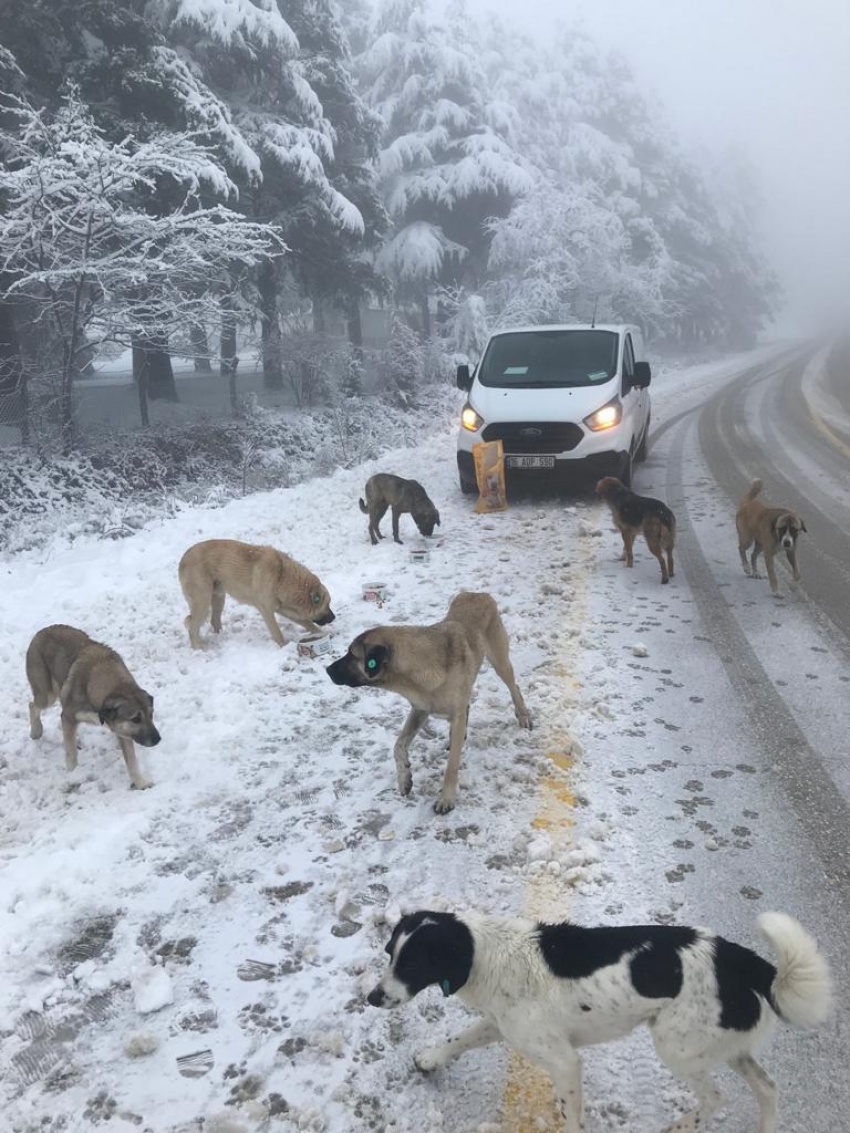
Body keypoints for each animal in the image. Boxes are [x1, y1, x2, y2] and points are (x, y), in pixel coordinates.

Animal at [26, 625, 160, 793]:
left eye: (151, 714)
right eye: (135, 719)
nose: (158, 739)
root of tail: (41, 631)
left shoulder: (122, 730)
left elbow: (131, 761)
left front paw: (140, 783)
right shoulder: (68, 717)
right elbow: (71, 754)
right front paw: (73, 777)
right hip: (46, 695)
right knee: (32, 705)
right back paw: (36, 731)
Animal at [177, 537, 335, 648]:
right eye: (327, 605)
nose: (333, 617)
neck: (282, 577)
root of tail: (184, 557)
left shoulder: (283, 608)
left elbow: (308, 623)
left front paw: (322, 633)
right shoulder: (266, 610)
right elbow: (277, 632)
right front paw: (284, 646)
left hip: (218, 597)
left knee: (214, 621)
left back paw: (220, 637)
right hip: (203, 601)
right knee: (192, 629)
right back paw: (200, 648)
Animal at [326, 593, 532, 815]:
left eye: (352, 655)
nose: (327, 670)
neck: (417, 667)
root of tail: (478, 594)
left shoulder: (450, 712)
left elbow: (451, 767)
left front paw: (446, 798)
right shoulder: (420, 709)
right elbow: (398, 744)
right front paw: (404, 779)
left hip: (500, 660)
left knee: (513, 686)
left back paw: (523, 715)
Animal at [367, 906, 834, 1133]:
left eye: (411, 964)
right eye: (390, 953)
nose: (372, 997)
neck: (486, 954)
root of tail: (741, 959)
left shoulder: (563, 1061)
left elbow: (572, 1117)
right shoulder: (503, 1024)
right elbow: (460, 1040)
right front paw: (430, 1059)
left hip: (678, 1048)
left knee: (717, 1099)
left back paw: (677, 1127)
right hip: (722, 1045)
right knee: (768, 1088)